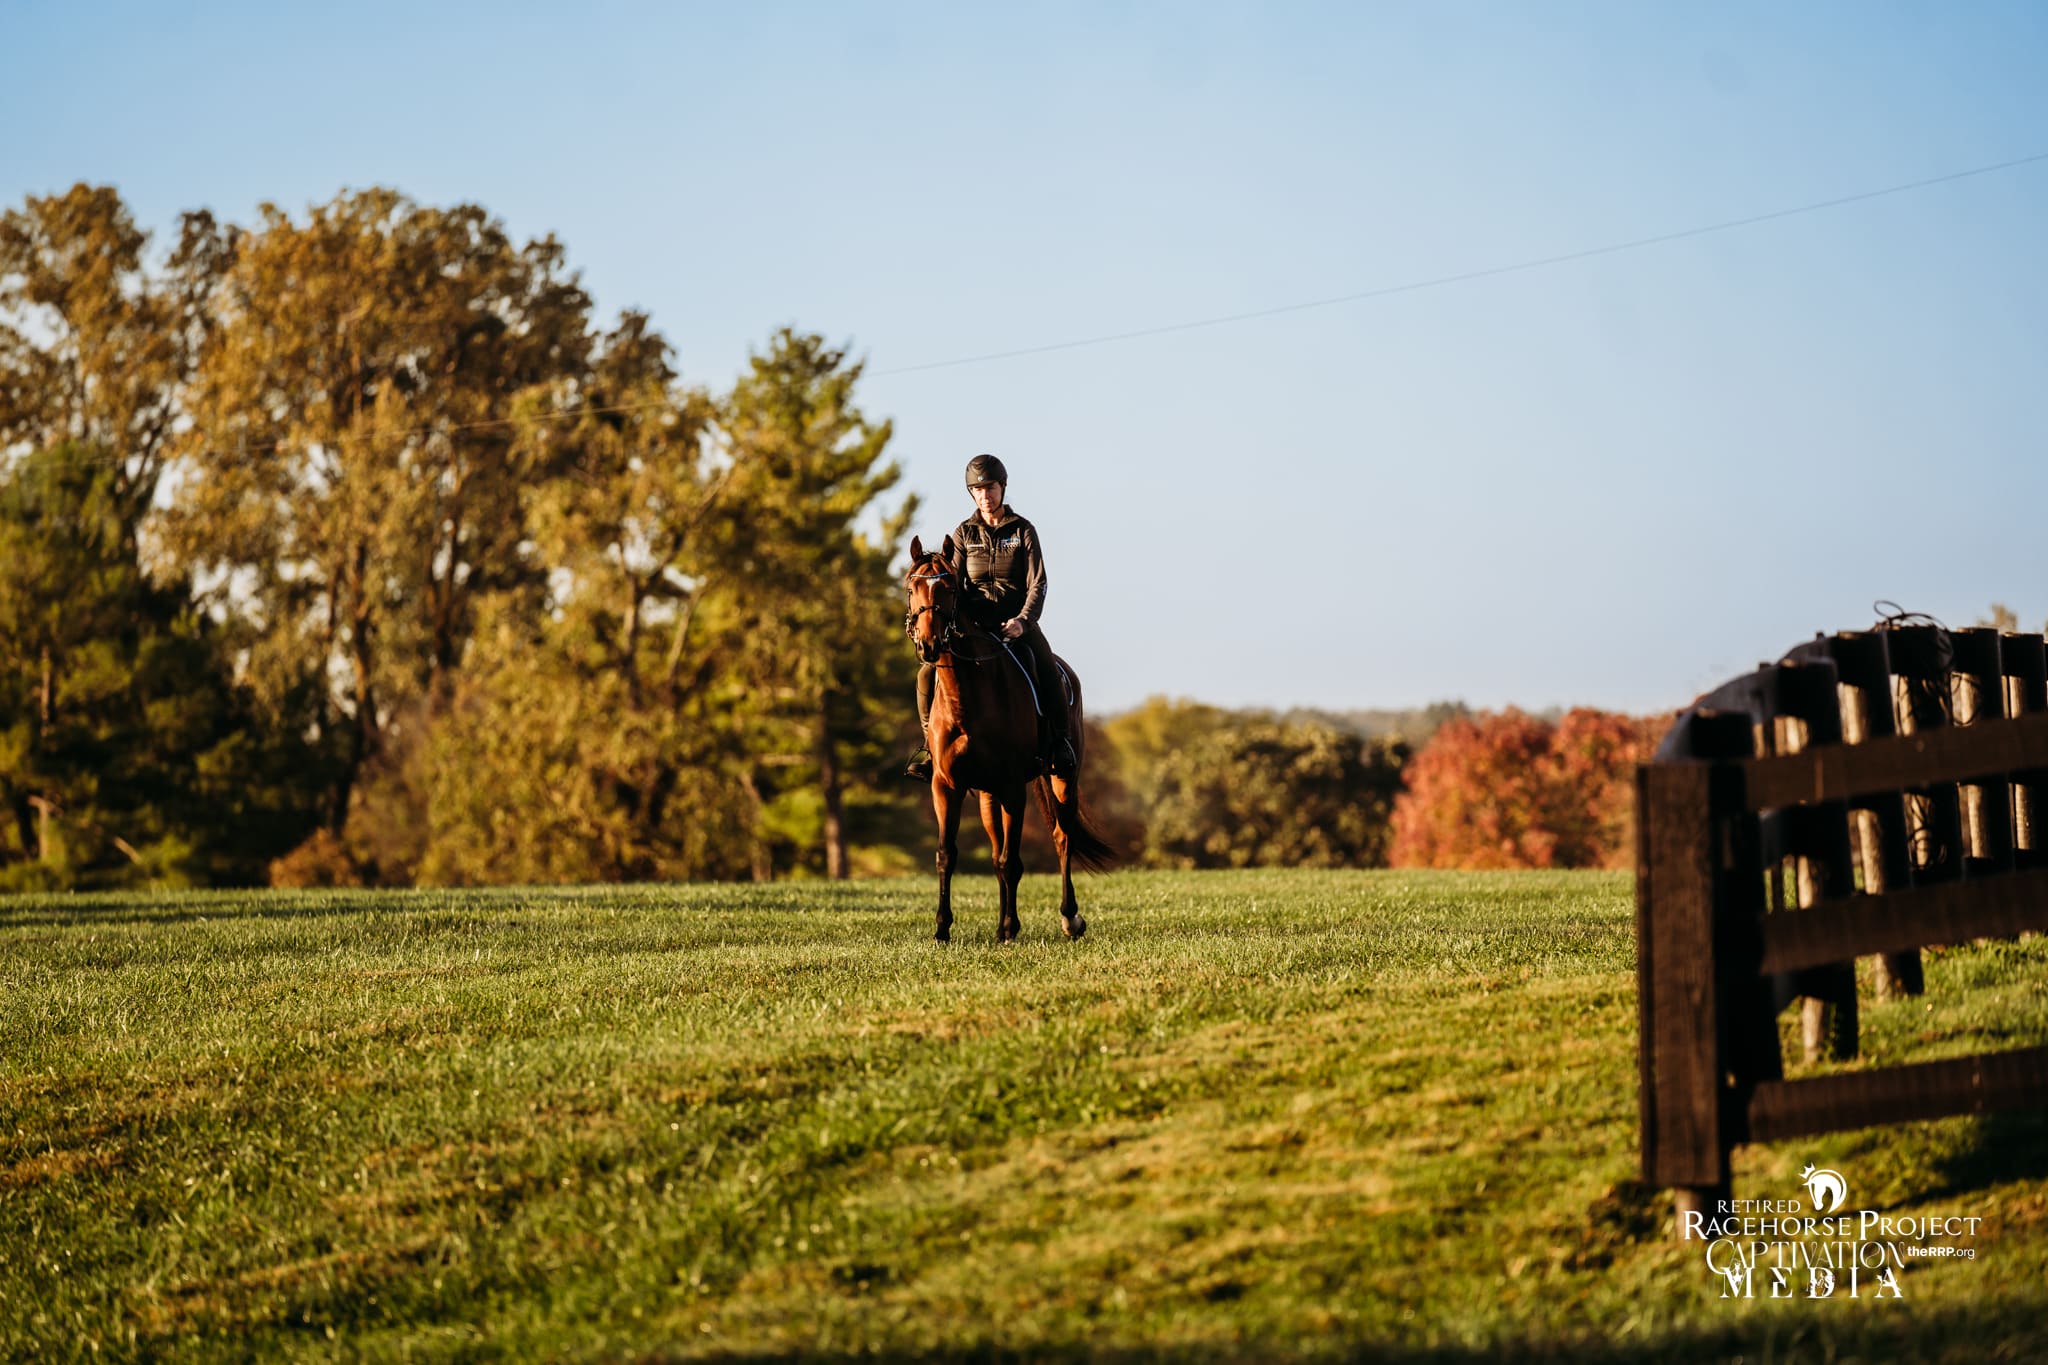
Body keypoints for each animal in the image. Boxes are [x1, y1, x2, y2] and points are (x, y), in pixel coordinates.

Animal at [901, 540, 1114, 945]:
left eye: (948, 588)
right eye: (911, 587)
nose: (930, 645)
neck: (967, 697)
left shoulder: (1014, 786)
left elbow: (1011, 861)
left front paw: (1010, 927)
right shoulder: (946, 785)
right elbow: (948, 854)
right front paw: (942, 928)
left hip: (1063, 777)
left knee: (1062, 838)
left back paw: (1070, 919)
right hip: (987, 794)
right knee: (999, 849)